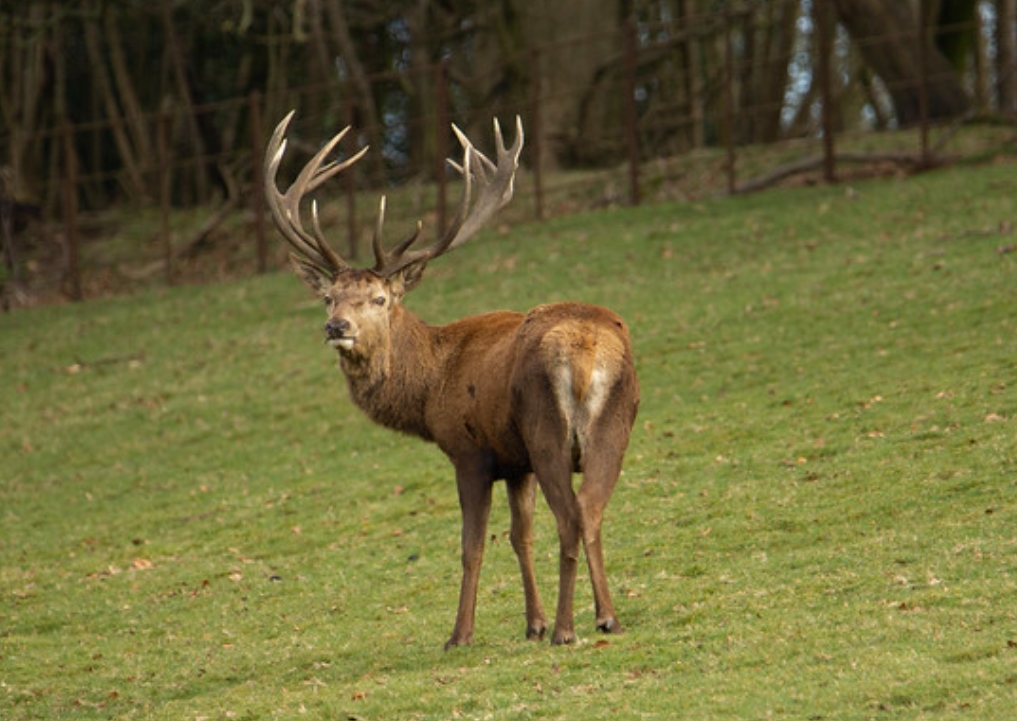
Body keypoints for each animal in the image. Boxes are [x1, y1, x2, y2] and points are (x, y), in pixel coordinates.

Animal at [264, 111, 639, 648]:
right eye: (328, 297)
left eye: (379, 299)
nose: (337, 327)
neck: (430, 386)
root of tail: (586, 348)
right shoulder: (515, 461)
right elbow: (520, 536)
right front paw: (532, 622)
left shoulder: (471, 452)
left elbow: (472, 545)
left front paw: (460, 633)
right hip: (612, 426)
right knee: (592, 510)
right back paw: (605, 616)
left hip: (547, 431)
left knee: (570, 516)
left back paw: (566, 630)